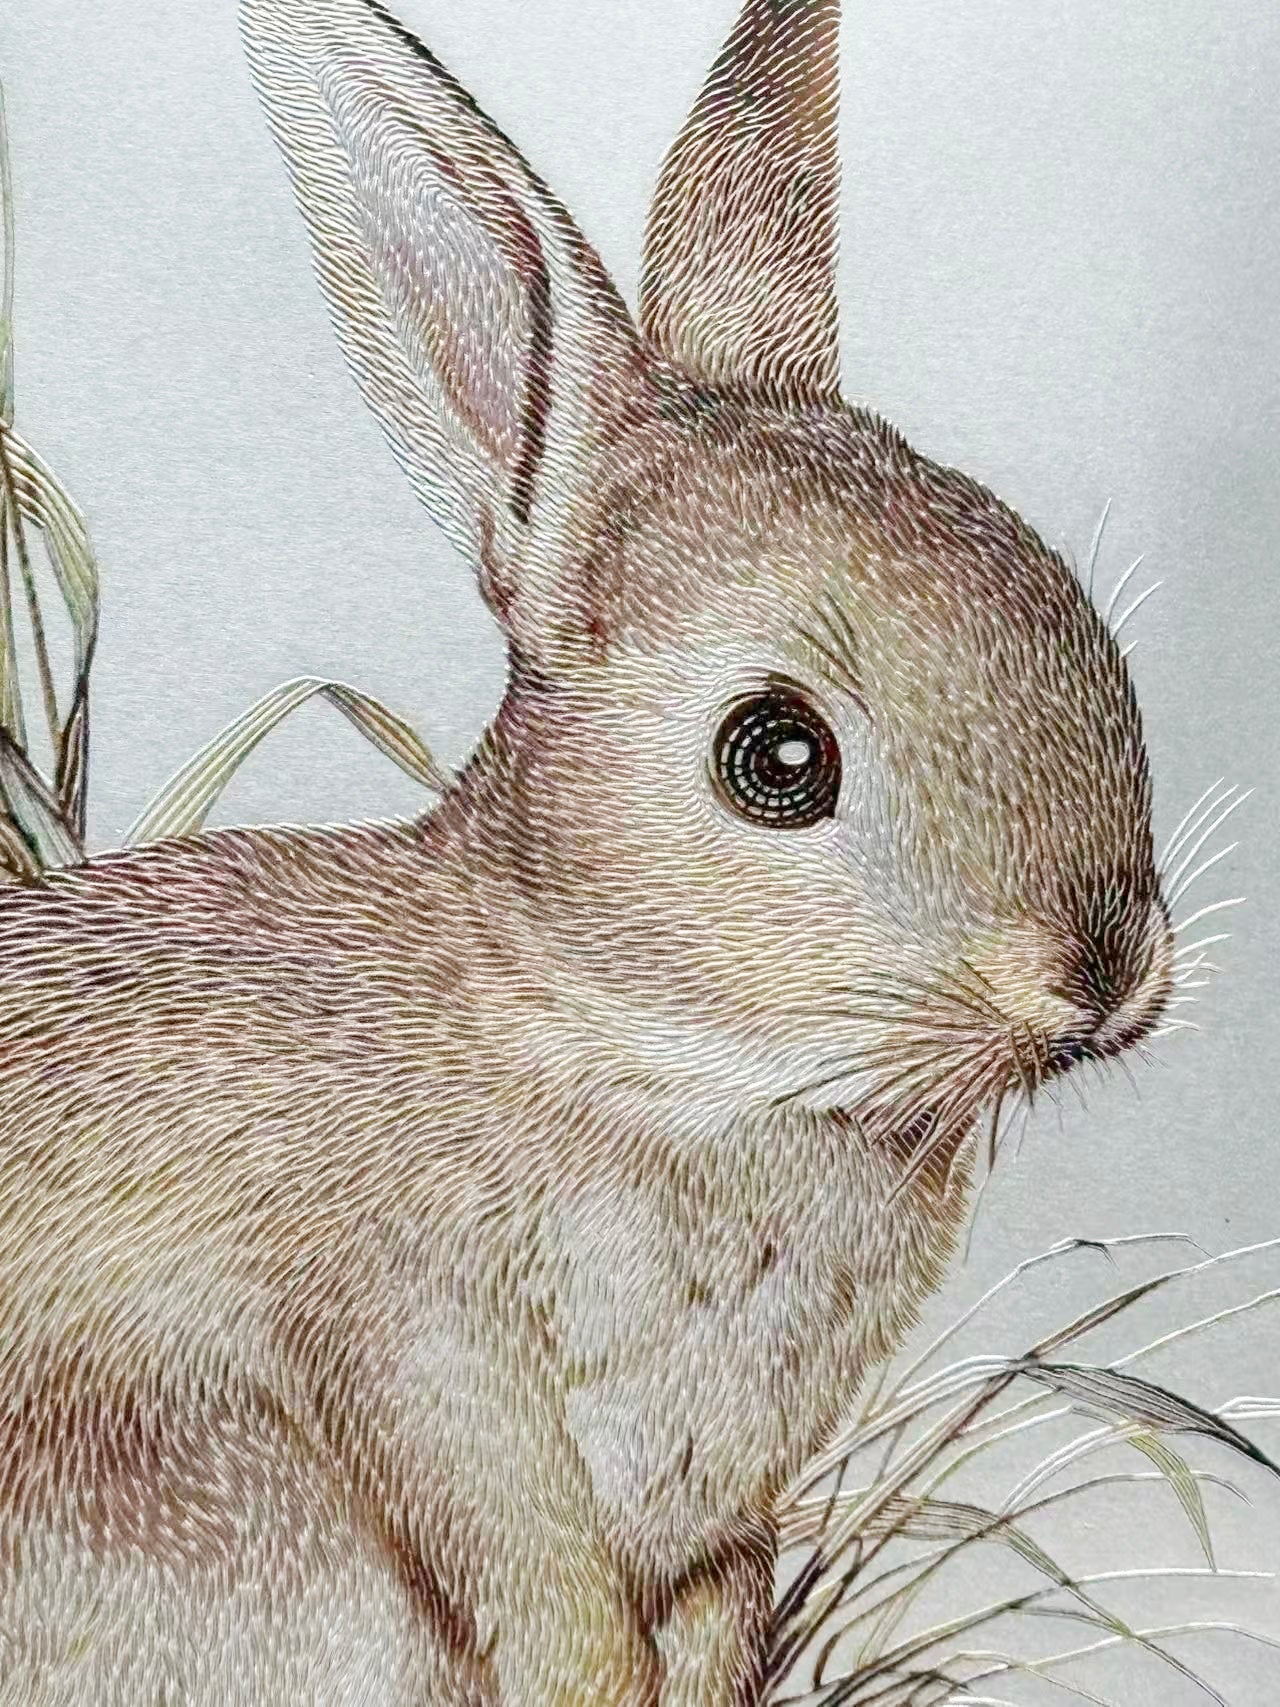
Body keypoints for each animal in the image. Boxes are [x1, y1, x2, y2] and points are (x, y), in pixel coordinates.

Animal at [0, 0, 1175, 1701]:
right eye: (777, 756)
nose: (1105, 960)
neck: (628, 1037)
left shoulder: (723, 1525)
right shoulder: (419, 1343)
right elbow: (546, 1591)